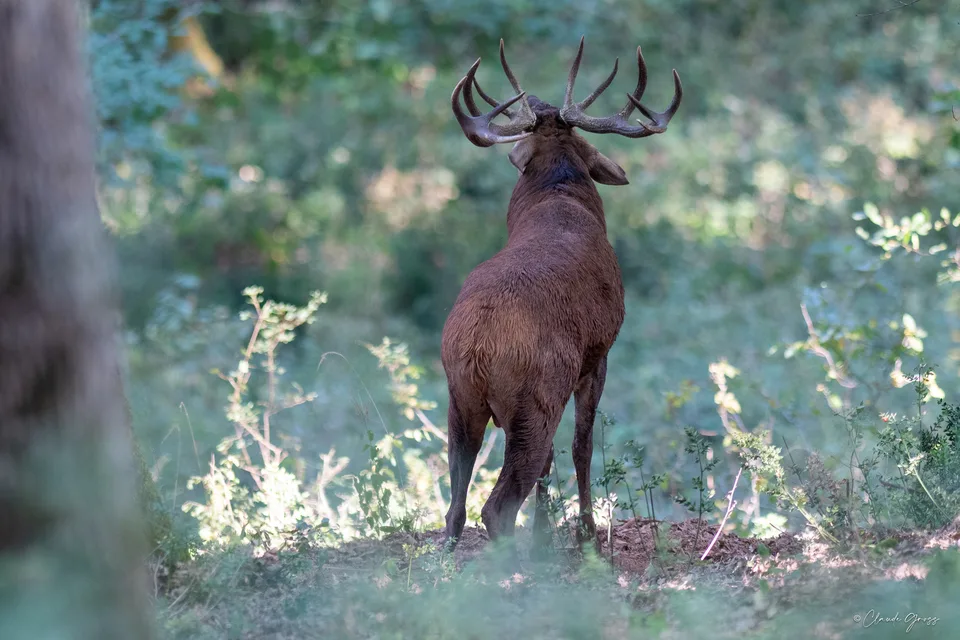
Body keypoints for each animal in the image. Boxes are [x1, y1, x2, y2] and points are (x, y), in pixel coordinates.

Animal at [441, 37, 682, 552]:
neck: (557, 197)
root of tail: (477, 346)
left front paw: (545, 533)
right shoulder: (599, 352)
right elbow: (582, 445)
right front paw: (585, 533)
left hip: (460, 398)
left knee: (455, 507)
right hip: (536, 396)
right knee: (497, 505)